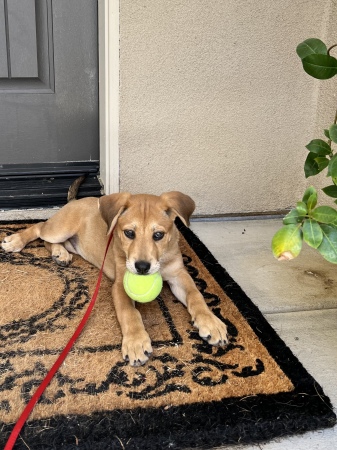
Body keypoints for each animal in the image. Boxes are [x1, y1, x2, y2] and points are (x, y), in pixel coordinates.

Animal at [1, 192, 227, 366]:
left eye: (158, 235)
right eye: (129, 233)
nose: (142, 267)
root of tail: (76, 200)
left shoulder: (180, 274)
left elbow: (196, 295)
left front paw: (211, 322)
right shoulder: (120, 285)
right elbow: (129, 313)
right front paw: (136, 342)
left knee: (51, 242)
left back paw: (60, 253)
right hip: (60, 228)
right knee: (40, 228)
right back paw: (15, 241)